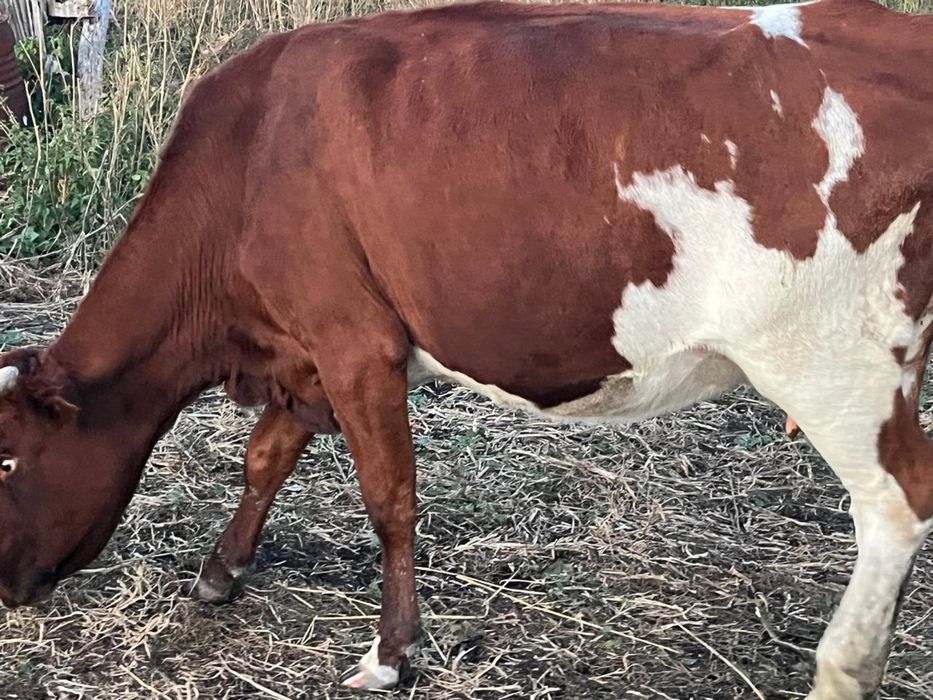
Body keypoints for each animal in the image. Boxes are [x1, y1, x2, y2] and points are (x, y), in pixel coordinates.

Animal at [0, 0, 931, 696]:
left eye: (7, 459)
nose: (7, 589)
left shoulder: (354, 342)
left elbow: (389, 499)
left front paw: (389, 655)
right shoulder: (308, 347)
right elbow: (266, 457)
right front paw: (221, 574)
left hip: (832, 363)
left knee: (896, 506)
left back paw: (844, 667)